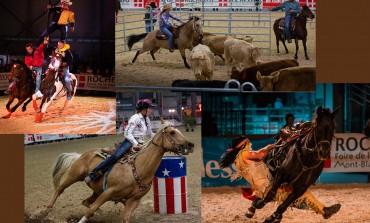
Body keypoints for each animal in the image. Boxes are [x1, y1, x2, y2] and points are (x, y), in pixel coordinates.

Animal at [45, 124, 194, 222]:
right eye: (172, 132)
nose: (190, 145)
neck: (138, 169)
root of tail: (81, 155)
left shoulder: (133, 201)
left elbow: (125, 218)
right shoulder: (108, 192)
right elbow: (90, 211)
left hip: (96, 191)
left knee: (86, 202)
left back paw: (99, 212)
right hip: (74, 176)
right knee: (60, 189)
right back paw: (46, 210)